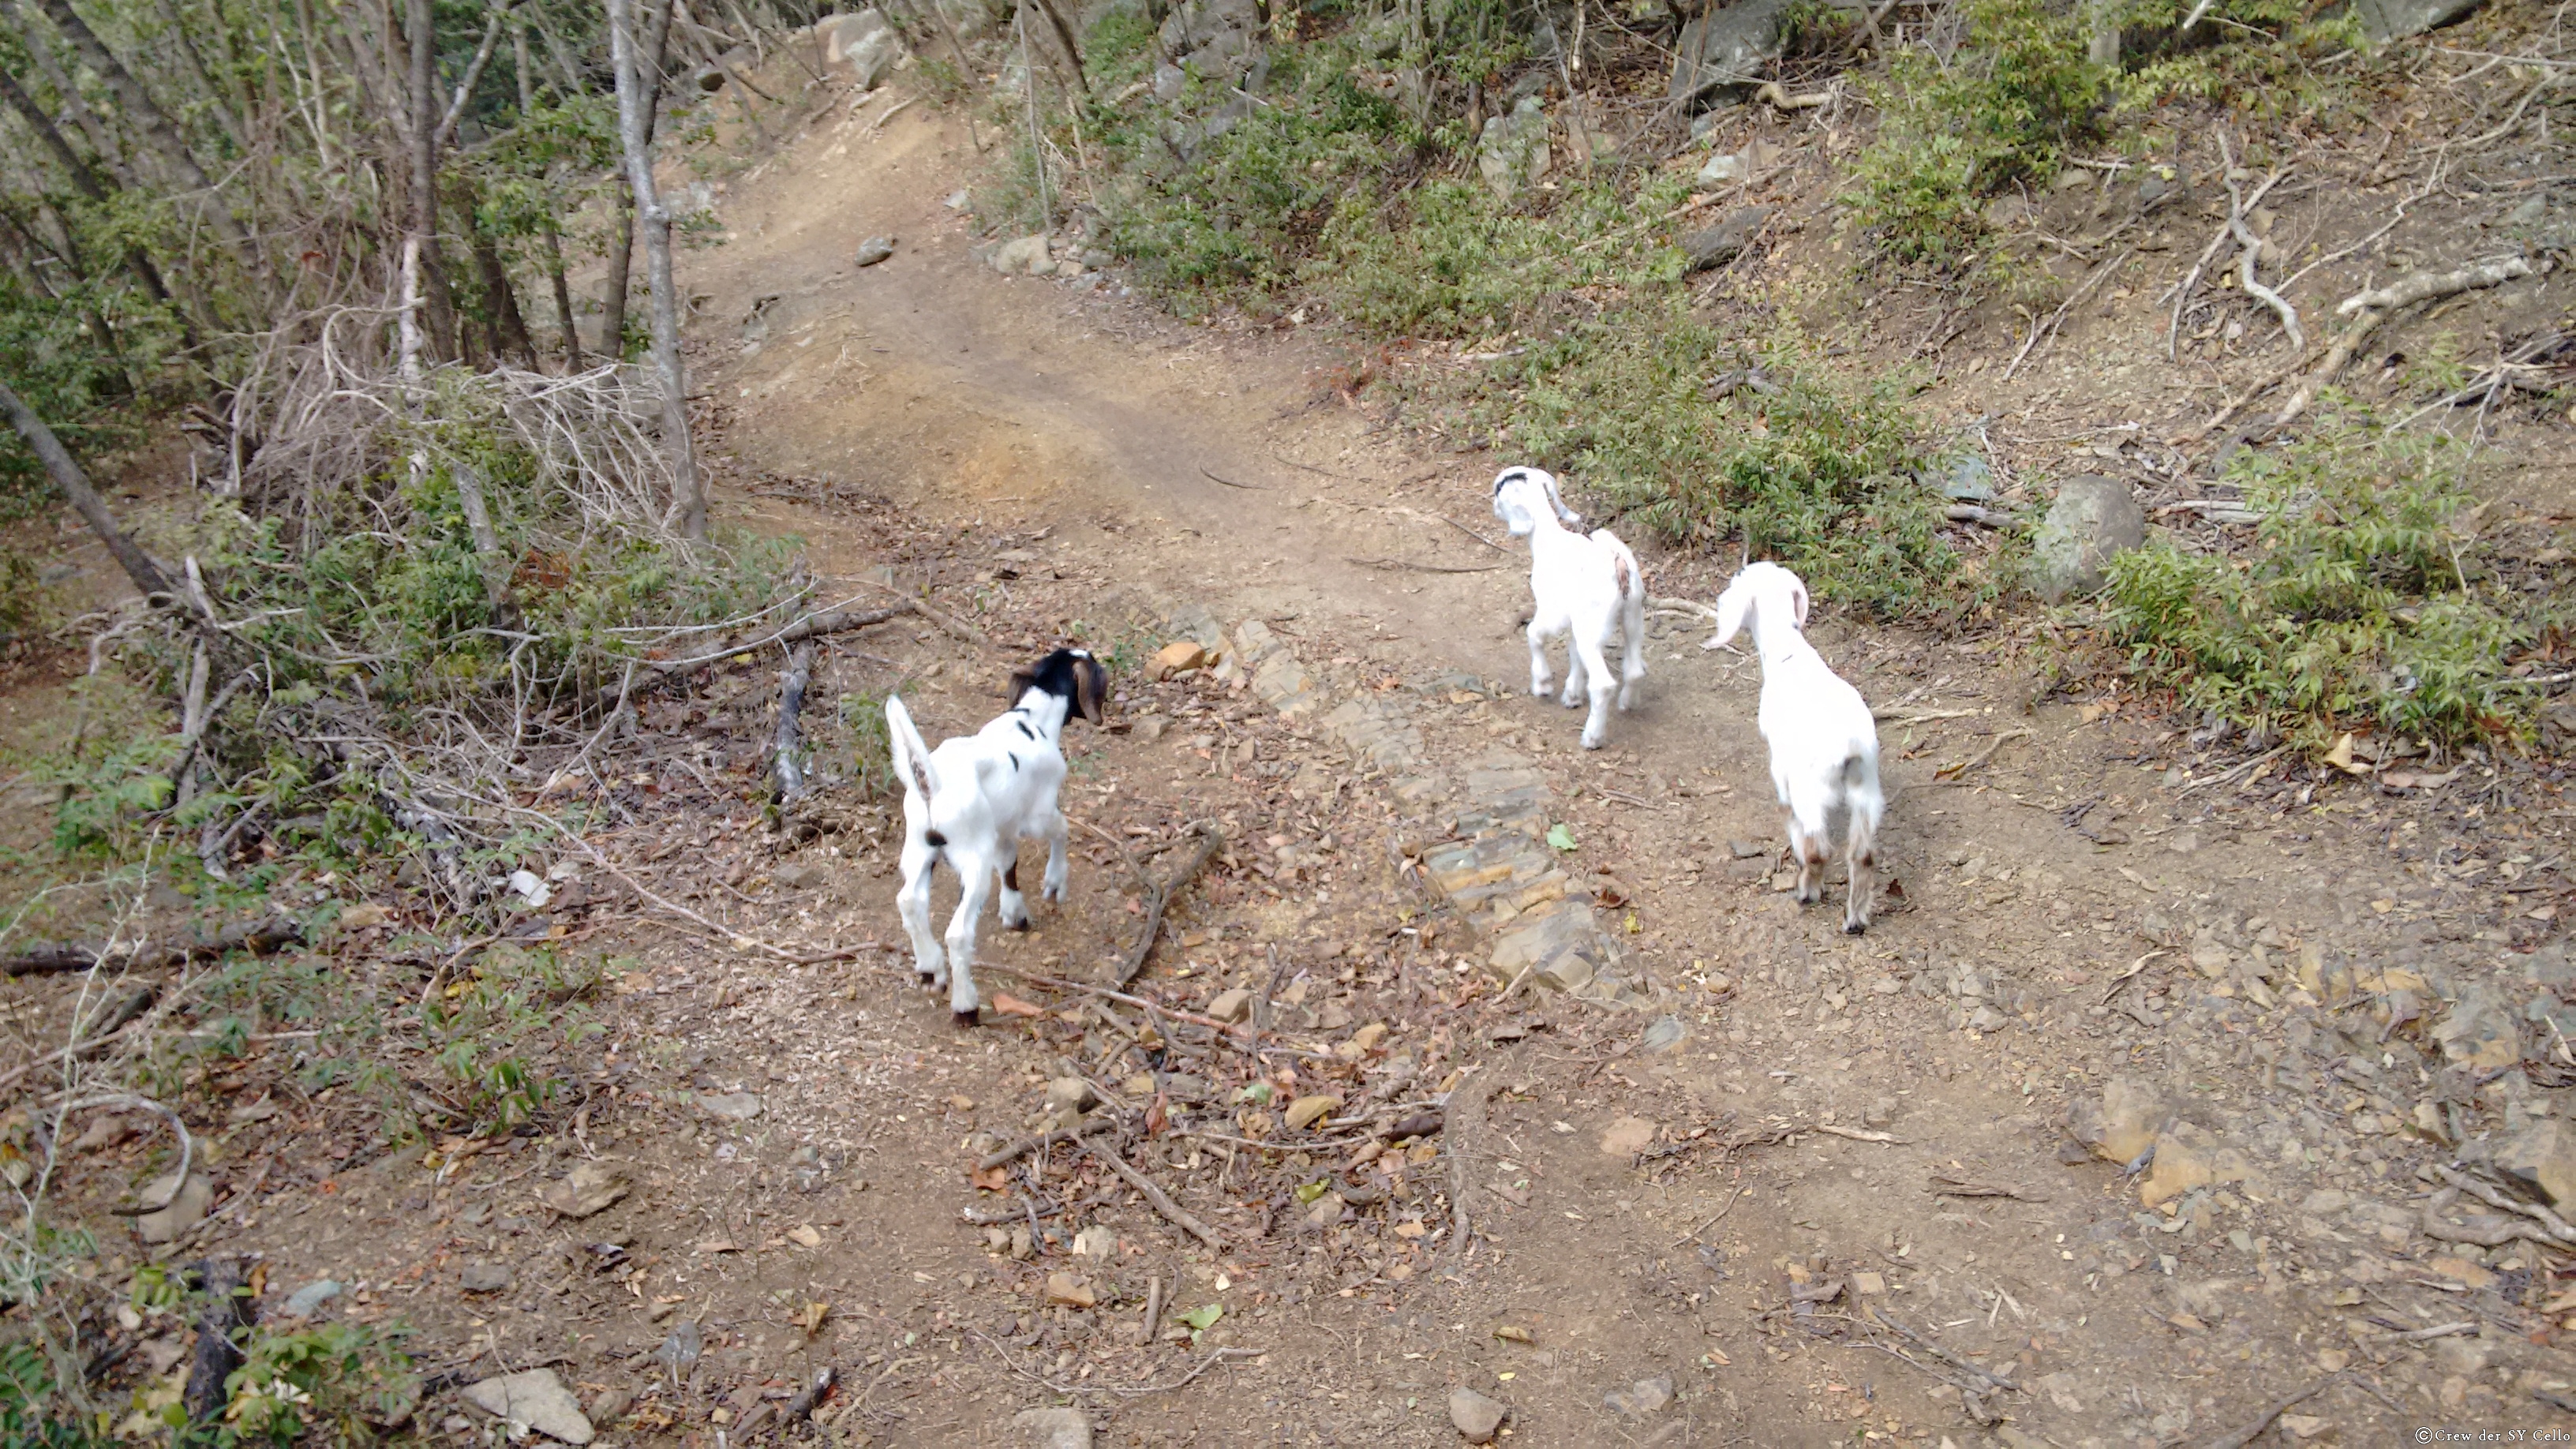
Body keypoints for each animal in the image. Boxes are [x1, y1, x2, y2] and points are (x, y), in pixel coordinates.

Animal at [881, 642, 1102, 1016]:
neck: (1032, 719)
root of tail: (932, 785)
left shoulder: (1003, 825)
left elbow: (1009, 864)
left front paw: (1014, 913)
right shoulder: (1038, 813)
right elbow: (1061, 830)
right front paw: (1055, 883)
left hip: (919, 849)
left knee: (910, 901)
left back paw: (930, 970)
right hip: (973, 859)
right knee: (958, 933)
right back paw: (965, 1005)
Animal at [1494, 461, 1648, 747]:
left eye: (1498, 489)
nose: (1494, 507)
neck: (1549, 539)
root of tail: (1619, 566)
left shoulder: (1554, 612)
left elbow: (1533, 633)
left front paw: (1543, 684)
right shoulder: (1577, 618)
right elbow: (1574, 652)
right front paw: (1573, 695)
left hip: (1595, 625)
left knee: (1602, 684)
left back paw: (1592, 737)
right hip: (1631, 616)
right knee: (1634, 670)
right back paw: (1628, 703)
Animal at [1710, 559, 1896, 928]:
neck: (1787, 651)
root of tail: (1850, 744)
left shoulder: (1780, 765)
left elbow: (1786, 811)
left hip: (1812, 787)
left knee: (1819, 848)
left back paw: (1808, 890)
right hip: (1867, 787)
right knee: (1863, 855)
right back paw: (1855, 918)